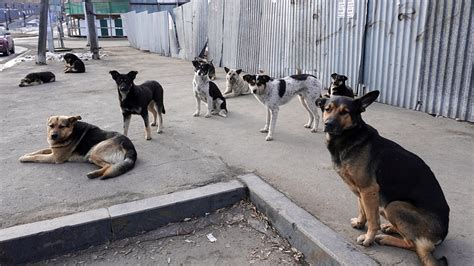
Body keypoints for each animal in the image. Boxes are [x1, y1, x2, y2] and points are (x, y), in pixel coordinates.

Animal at [316, 90, 450, 264]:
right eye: (327, 109)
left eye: (345, 112)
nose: (328, 124)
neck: (350, 136)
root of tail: (442, 234)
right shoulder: (361, 191)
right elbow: (363, 209)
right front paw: (360, 223)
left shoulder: (369, 189)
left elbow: (372, 220)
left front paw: (368, 238)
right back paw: (390, 228)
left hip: (394, 205)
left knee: (413, 244)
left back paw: (385, 238)